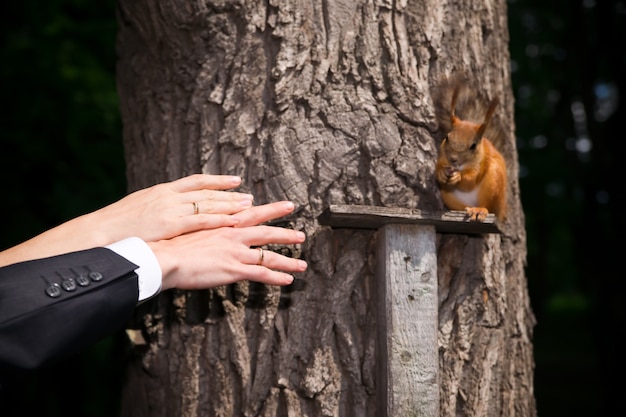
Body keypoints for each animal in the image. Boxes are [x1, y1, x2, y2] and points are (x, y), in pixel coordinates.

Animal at [434, 77, 508, 221]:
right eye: (447, 137)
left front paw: (459, 176)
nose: (453, 159)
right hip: (449, 196)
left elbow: (471, 181)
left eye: (473, 146)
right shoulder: (442, 157)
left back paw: (479, 210)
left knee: (486, 206)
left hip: (493, 183)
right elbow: (437, 168)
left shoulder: (480, 164)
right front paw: (441, 173)